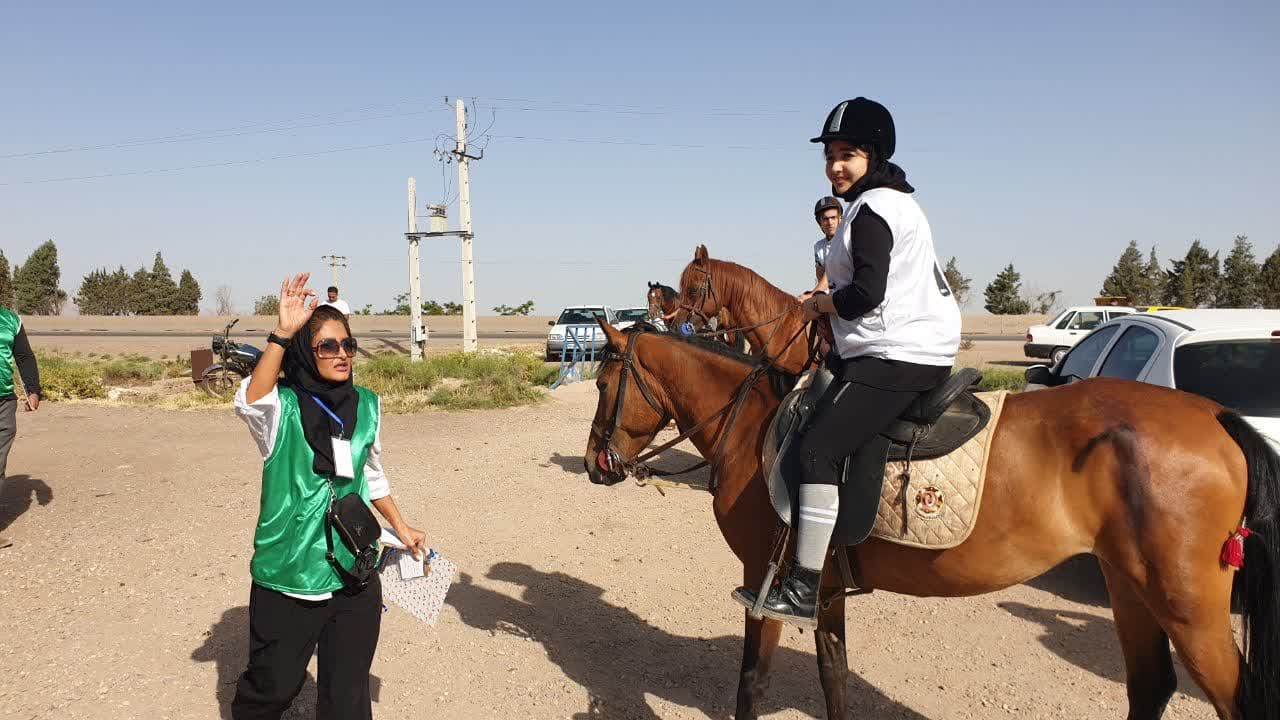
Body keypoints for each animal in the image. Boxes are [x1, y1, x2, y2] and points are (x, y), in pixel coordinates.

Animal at [586, 265, 1280, 717]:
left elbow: (752, 684)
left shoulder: (766, 579)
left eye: (601, 382)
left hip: (1188, 606)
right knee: (1150, 684)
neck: (757, 422)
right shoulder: (823, 586)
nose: (597, 463)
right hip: (1129, 583)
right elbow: (834, 678)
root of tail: (1216, 415)